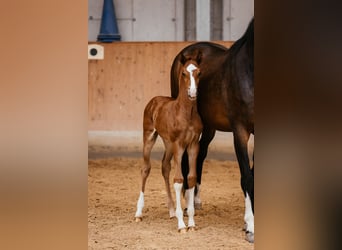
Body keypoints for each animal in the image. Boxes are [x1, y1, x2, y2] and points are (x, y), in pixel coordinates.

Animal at [134, 54, 203, 232]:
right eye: (184, 73)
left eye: (199, 72)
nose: (193, 93)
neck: (186, 113)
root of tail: (154, 100)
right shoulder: (179, 144)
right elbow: (178, 180)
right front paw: (181, 225)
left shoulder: (193, 145)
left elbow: (191, 178)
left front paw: (191, 223)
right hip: (149, 137)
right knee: (145, 168)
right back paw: (138, 213)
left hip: (168, 143)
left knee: (165, 166)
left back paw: (171, 210)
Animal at [170, 18, 254, 242]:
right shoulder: (240, 131)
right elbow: (247, 176)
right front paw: (250, 226)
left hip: (209, 127)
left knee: (200, 155)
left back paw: (196, 200)